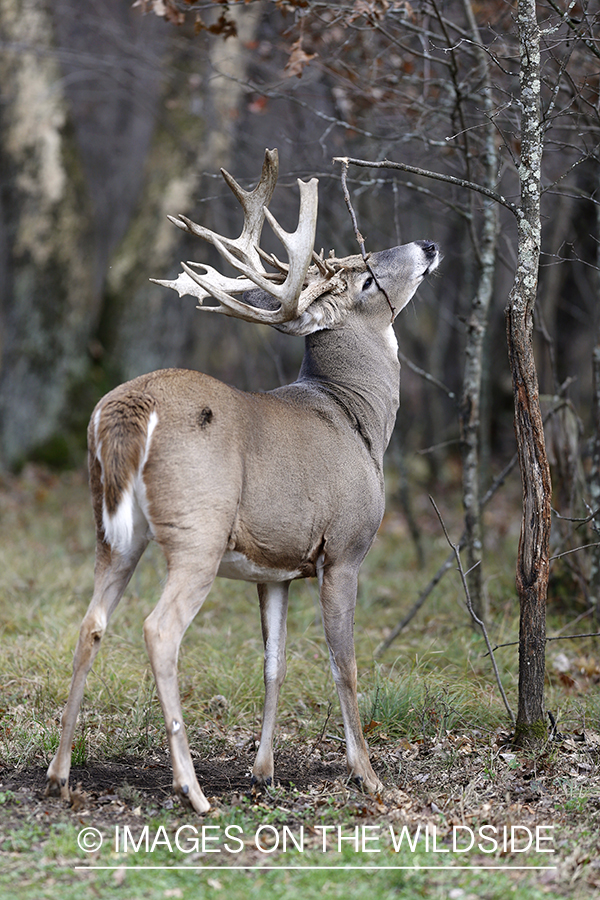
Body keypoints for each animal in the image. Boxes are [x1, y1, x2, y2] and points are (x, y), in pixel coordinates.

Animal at [44, 149, 438, 816]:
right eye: (364, 279)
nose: (430, 243)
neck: (357, 416)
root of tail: (128, 407)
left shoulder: (275, 566)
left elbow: (274, 662)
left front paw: (263, 771)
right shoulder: (345, 548)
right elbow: (344, 664)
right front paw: (369, 776)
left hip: (114, 528)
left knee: (91, 622)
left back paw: (60, 775)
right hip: (198, 529)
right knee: (159, 630)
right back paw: (193, 790)